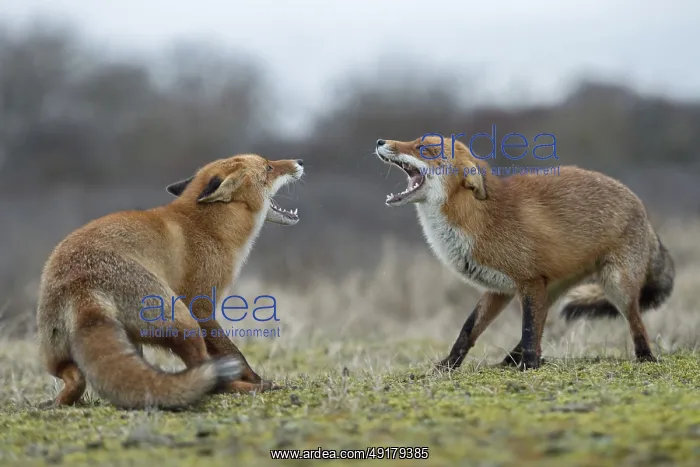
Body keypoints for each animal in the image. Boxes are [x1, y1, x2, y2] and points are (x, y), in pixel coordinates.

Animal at [37, 154, 304, 409]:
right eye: (268, 167)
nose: (299, 161)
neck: (210, 228)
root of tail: (81, 284)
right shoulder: (201, 306)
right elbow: (234, 353)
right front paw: (258, 379)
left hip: (61, 354)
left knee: (75, 378)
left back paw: (58, 402)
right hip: (182, 319)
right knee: (205, 372)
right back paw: (247, 387)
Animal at [373, 136, 674, 370]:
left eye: (425, 149)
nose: (380, 142)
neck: (478, 221)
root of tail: (642, 208)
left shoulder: (527, 281)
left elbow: (528, 329)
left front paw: (529, 366)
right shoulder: (500, 289)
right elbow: (468, 330)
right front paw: (447, 366)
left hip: (615, 285)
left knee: (636, 321)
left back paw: (645, 357)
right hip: (551, 289)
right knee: (542, 322)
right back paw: (511, 360)